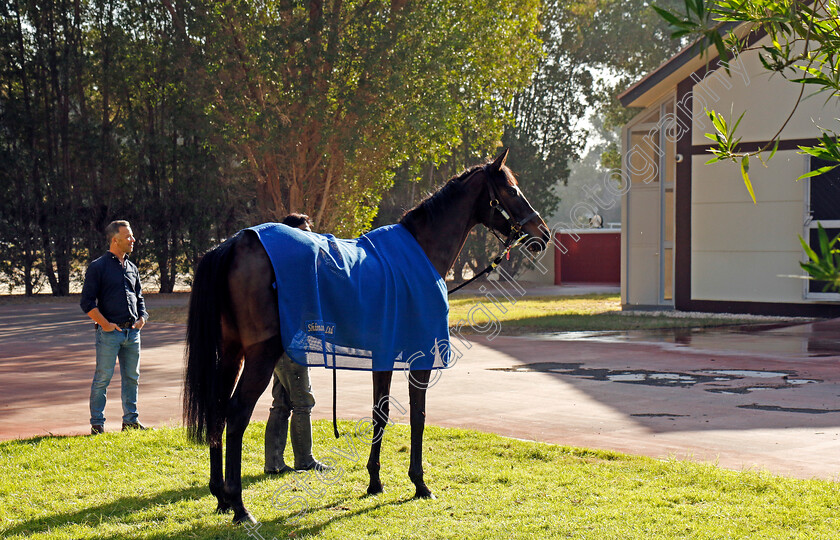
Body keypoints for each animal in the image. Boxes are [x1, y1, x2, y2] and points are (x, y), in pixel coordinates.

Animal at [184, 149, 552, 524]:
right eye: (511, 190)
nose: (543, 233)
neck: (421, 251)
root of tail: (236, 243)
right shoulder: (421, 356)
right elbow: (417, 416)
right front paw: (420, 484)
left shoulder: (383, 355)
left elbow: (381, 412)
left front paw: (374, 481)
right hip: (259, 355)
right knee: (236, 414)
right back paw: (240, 507)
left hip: (231, 353)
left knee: (217, 410)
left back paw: (221, 497)